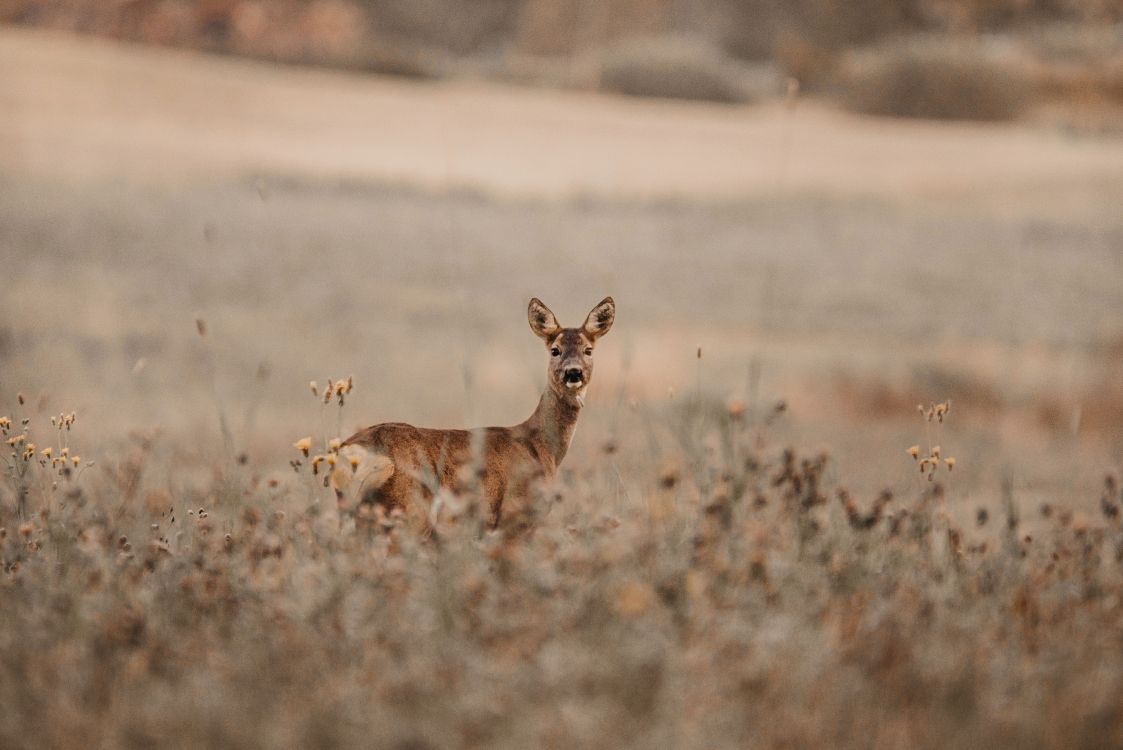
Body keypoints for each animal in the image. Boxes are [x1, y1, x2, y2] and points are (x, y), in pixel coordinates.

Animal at [327, 296, 619, 536]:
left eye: (588, 350)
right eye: (555, 350)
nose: (573, 372)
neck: (541, 447)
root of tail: (352, 452)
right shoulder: (513, 517)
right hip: (407, 511)